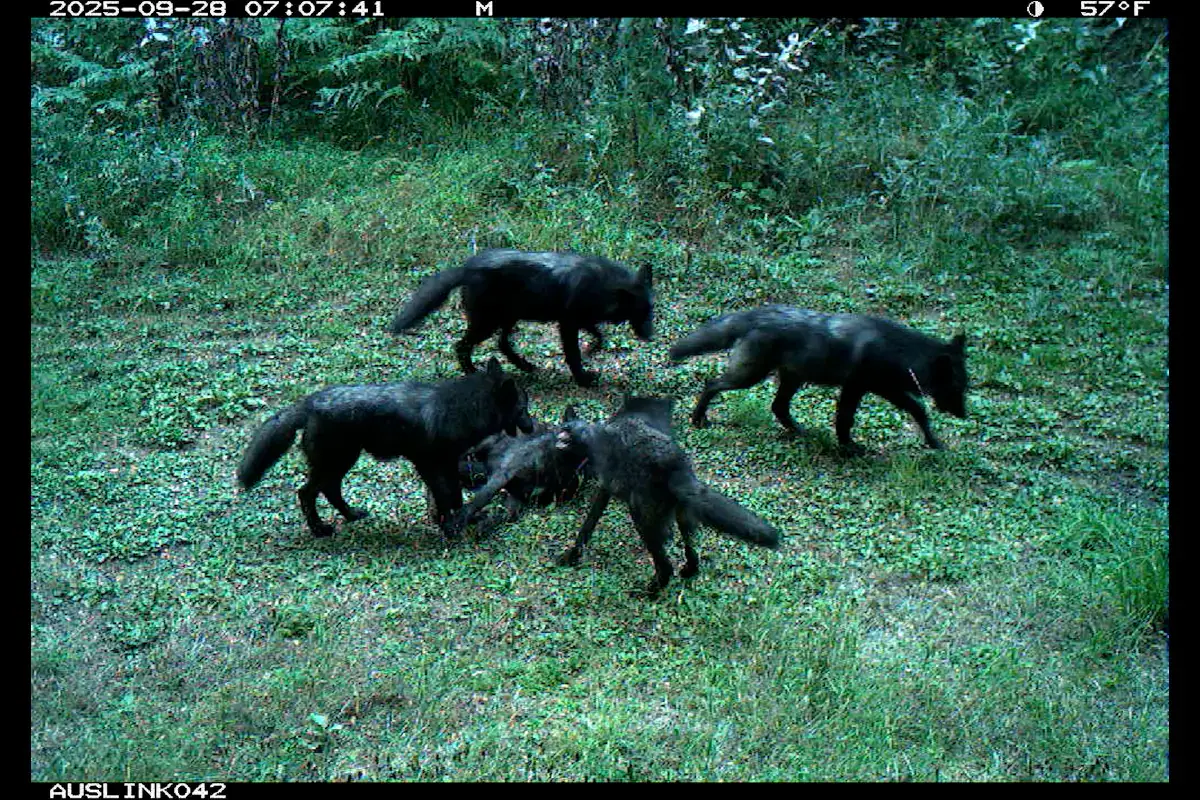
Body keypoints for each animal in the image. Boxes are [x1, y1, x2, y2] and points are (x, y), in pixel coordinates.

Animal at [236, 358, 534, 539]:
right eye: (523, 409)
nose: (531, 428)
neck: (458, 411)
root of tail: (309, 403)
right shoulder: (428, 465)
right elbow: (445, 497)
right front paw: (450, 527)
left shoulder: (448, 463)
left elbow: (456, 497)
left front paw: (463, 519)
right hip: (337, 461)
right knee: (306, 492)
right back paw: (320, 529)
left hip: (344, 461)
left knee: (329, 490)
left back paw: (351, 515)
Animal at [390, 248, 654, 387]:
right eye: (641, 313)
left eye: (651, 311)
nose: (650, 336)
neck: (602, 286)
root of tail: (468, 268)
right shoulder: (567, 324)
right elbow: (574, 354)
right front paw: (583, 378)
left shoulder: (581, 320)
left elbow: (599, 336)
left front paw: (592, 350)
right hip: (488, 323)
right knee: (462, 346)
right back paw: (474, 374)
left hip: (508, 319)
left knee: (502, 344)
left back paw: (525, 366)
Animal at [447, 405, 591, 533]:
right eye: (566, 426)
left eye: (584, 432)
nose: (565, 432)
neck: (557, 463)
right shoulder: (503, 474)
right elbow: (482, 498)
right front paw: (460, 521)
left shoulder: (518, 496)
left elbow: (503, 515)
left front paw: (479, 524)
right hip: (480, 445)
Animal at [553, 396, 781, 598]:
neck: (592, 437)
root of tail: (674, 467)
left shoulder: (605, 488)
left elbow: (587, 526)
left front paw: (572, 556)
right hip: (683, 517)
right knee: (692, 553)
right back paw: (688, 572)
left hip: (642, 520)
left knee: (666, 566)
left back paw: (649, 593)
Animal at [669, 305, 968, 452]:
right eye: (956, 387)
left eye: (965, 387)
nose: (964, 415)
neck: (899, 351)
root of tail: (755, 315)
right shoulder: (861, 388)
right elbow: (846, 419)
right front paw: (849, 448)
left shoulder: (879, 390)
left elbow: (919, 412)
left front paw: (933, 443)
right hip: (749, 377)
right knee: (712, 384)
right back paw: (698, 419)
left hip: (790, 380)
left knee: (778, 407)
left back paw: (802, 432)